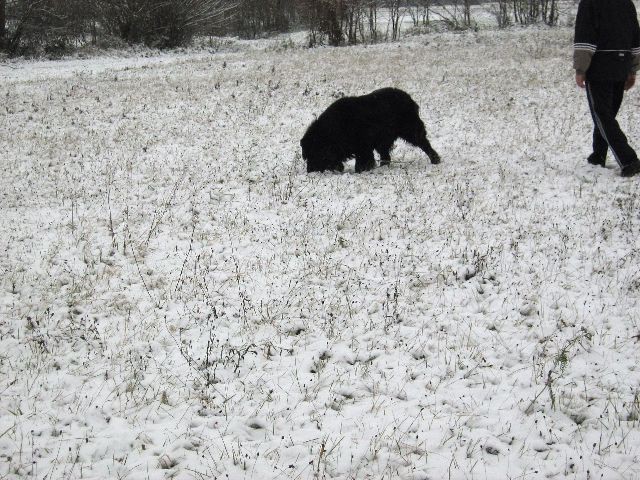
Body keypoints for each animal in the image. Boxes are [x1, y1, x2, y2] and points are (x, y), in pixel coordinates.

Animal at [300, 87, 440, 173]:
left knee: (424, 143)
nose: (310, 171)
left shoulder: (363, 146)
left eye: (313, 154)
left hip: (411, 130)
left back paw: (435, 160)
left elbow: (363, 160)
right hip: (384, 140)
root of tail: (409, 99)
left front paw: (361, 170)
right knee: (386, 156)